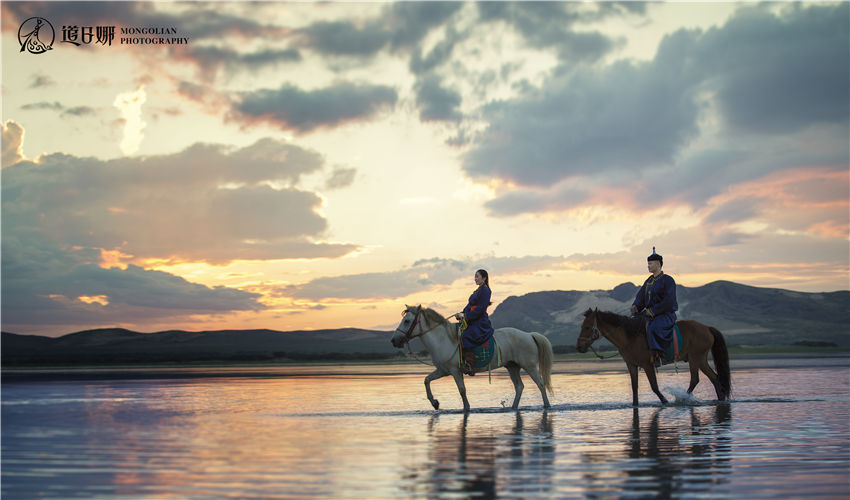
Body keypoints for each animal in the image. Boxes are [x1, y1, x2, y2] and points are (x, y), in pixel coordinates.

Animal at [390, 302, 552, 412]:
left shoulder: (455, 371)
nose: (394, 341)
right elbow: (426, 380)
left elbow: (462, 390)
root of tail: (529, 335)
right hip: (512, 367)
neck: (443, 340)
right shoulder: (443, 370)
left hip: (529, 366)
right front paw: (435, 403)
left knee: (540, 383)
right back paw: (513, 407)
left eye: (406, 321)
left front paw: (467, 408)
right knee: (519, 386)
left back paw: (547, 405)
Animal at [576, 308, 728, 406]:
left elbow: (654, 386)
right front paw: (635, 404)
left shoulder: (647, 365)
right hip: (700, 359)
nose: (579, 347)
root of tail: (707, 328)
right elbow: (634, 387)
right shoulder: (631, 365)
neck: (630, 337)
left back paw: (683, 399)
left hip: (695, 358)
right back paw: (720, 399)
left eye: (588, 327)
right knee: (714, 378)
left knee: (695, 379)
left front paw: (665, 401)